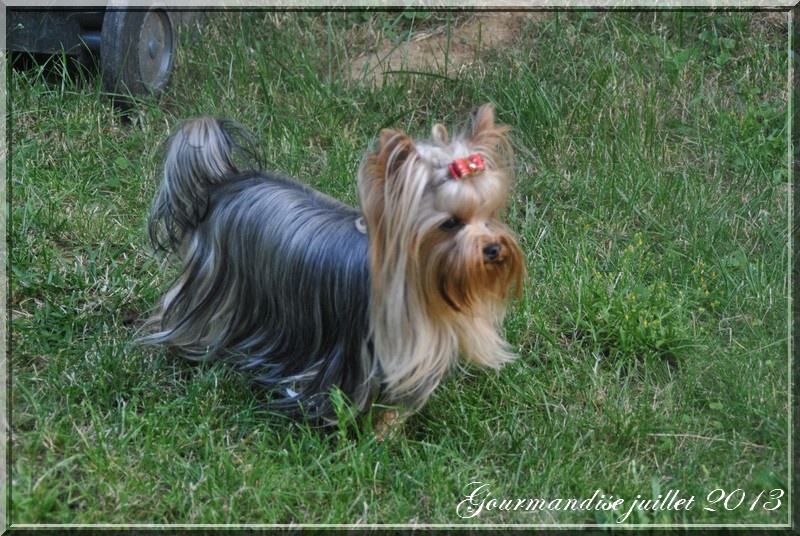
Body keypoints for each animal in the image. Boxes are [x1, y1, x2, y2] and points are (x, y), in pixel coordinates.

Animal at [143, 103, 524, 432]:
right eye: (450, 223)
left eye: (490, 215)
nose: (494, 249)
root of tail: (224, 181)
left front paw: (386, 429)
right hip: (214, 290)